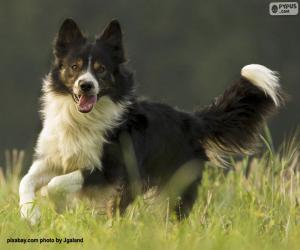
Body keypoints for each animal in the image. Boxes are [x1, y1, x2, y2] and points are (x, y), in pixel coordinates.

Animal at [19, 18, 284, 224]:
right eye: (74, 67)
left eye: (101, 69)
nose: (86, 85)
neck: (82, 119)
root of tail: (191, 119)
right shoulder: (55, 158)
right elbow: (26, 180)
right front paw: (30, 215)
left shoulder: (110, 169)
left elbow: (55, 184)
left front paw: (56, 205)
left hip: (169, 184)